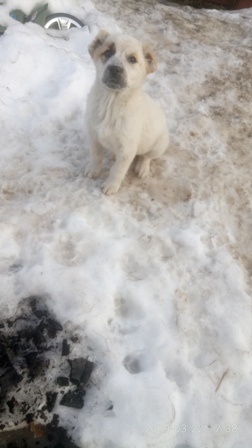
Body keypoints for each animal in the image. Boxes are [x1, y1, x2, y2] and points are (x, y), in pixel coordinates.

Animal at [84, 29, 169, 194]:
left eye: (132, 59)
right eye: (108, 52)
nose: (115, 69)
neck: (111, 104)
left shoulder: (127, 150)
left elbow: (117, 170)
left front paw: (111, 186)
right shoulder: (93, 136)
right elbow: (95, 156)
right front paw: (93, 170)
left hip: (159, 145)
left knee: (146, 157)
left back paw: (142, 167)